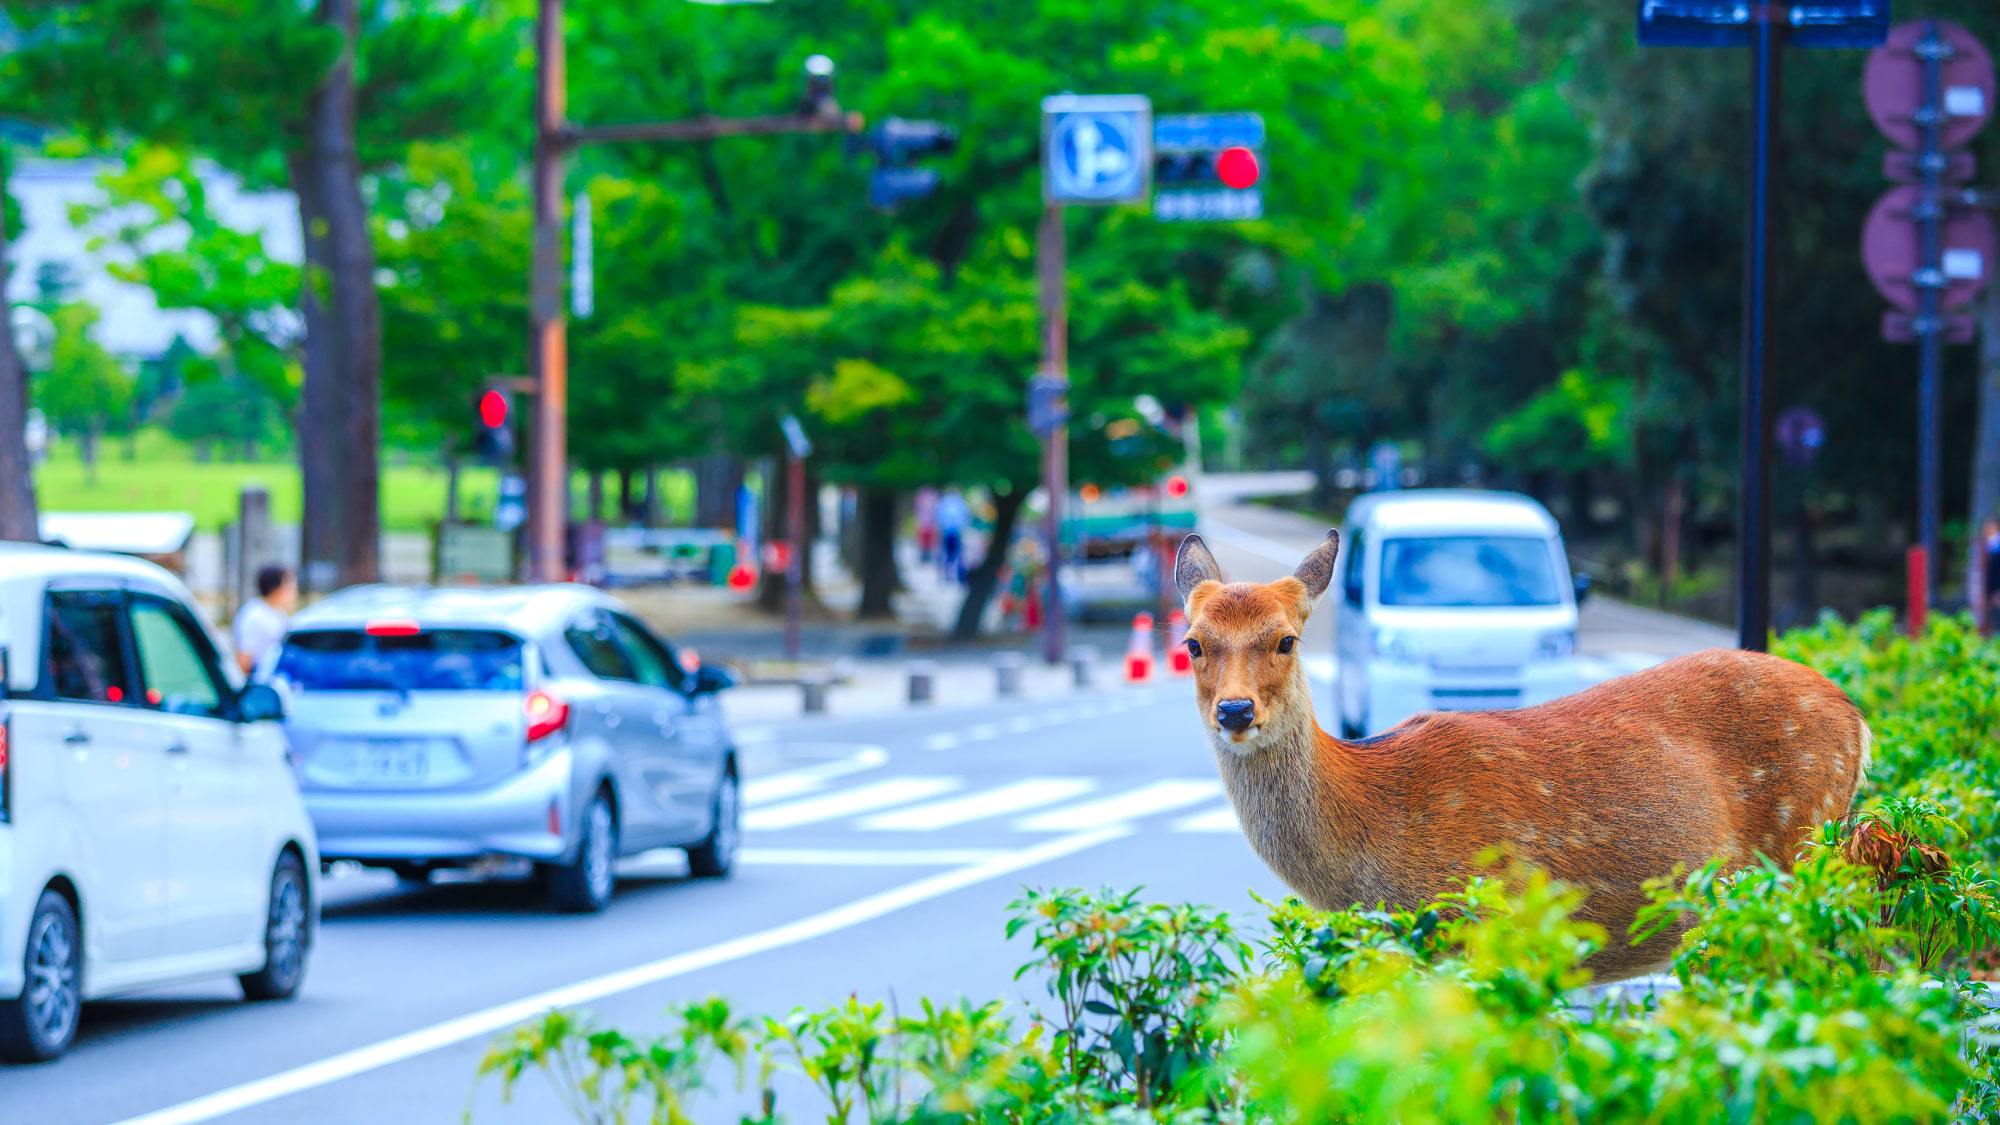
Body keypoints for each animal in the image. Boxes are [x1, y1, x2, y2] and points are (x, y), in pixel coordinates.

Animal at [1168, 524, 1872, 972]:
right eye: (1194, 642)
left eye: (1286, 640)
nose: (1235, 710)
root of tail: (1858, 719)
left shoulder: (1490, 920)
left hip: (1803, 835)